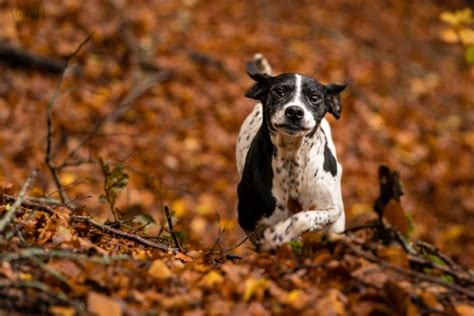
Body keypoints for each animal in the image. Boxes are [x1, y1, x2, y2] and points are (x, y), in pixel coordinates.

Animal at [236, 55, 344, 251]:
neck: (291, 158)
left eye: (315, 97)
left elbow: (304, 217)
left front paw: (280, 233)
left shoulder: (331, 208)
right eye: (279, 91)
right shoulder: (247, 217)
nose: (294, 111)